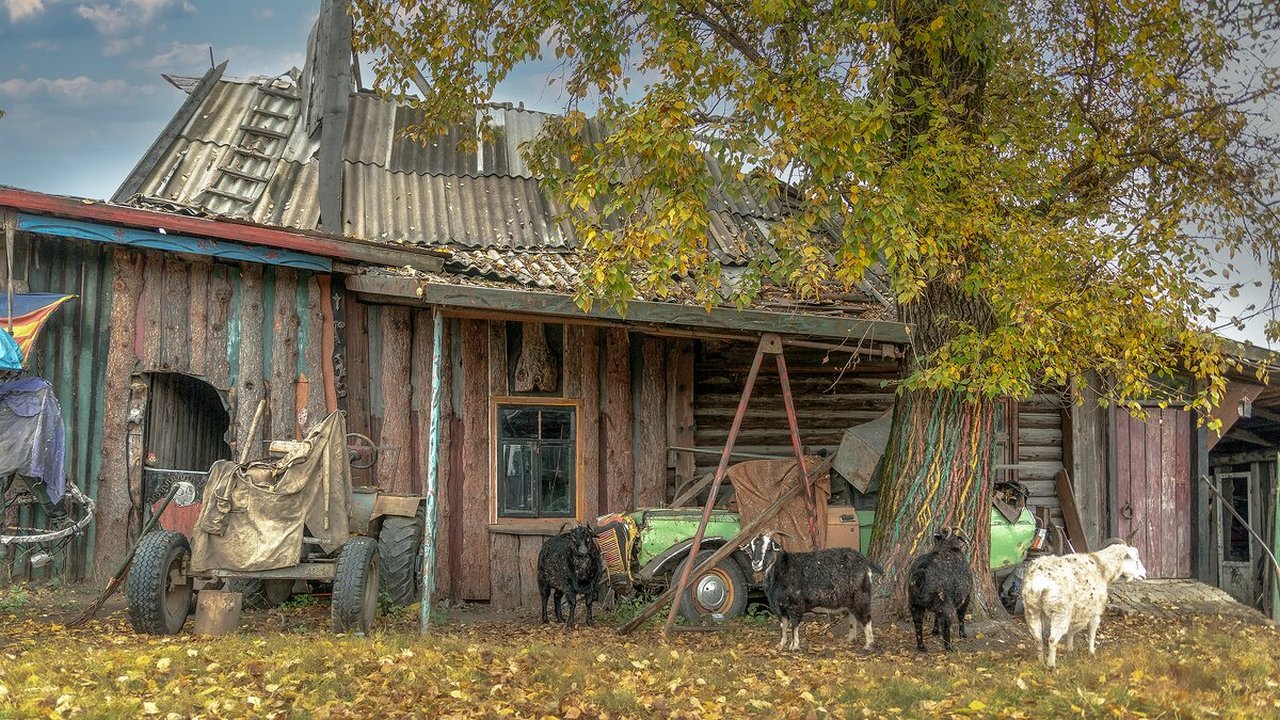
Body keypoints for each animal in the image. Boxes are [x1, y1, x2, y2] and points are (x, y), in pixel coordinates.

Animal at [744, 532, 876, 651]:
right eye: (751, 548)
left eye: (768, 547)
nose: (756, 563)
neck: (781, 570)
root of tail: (864, 561)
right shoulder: (779, 607)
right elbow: (783, 625)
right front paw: (781, 644)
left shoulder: (795, 604)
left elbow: (794, 625)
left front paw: (794, 646)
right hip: (850, 599)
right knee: (853, 615)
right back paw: (850, 639)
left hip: (861, 595)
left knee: (866, 617)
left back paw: (868, 645)